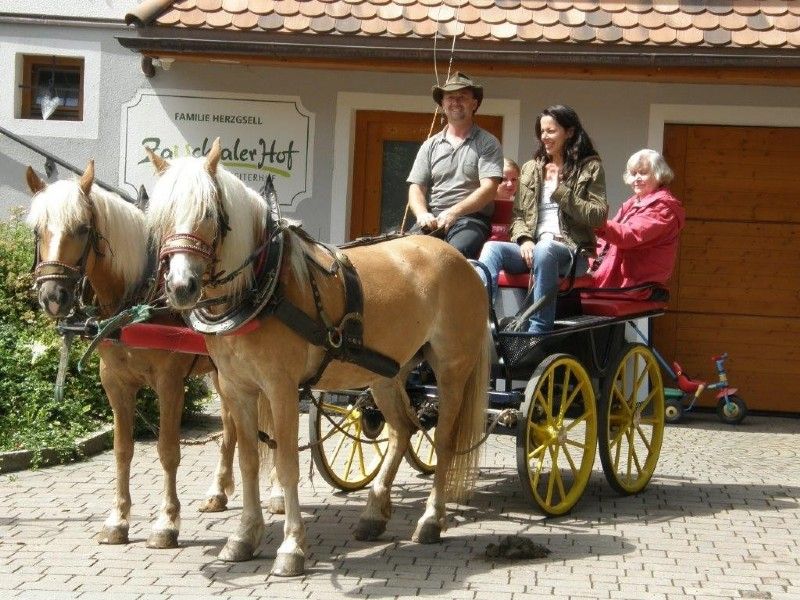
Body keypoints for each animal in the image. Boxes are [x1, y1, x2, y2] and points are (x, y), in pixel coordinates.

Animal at [25, 163, 250, 548]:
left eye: (82, 228)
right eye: (38, 229)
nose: (53, 296)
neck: (135, 301)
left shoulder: (170, 383)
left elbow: (167, 450)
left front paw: (166, 523)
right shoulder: (114, 383)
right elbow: (122, 449)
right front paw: (118, 520)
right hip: (222, 374)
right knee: (231, 427)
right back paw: (218, 493)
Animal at [146, 139, 490, 576]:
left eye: (208, 212)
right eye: (160, 217)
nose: (181, 287)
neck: (265, 285)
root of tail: (460, 262)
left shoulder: (281, 388)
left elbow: (286, 464)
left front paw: (291, 547)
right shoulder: (237, 388)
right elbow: (248, 461)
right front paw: (243, 538)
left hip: (451, 370)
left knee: (442, 440)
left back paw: (431, 520)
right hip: (386, 372)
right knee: (403, 430)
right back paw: (374, 514)